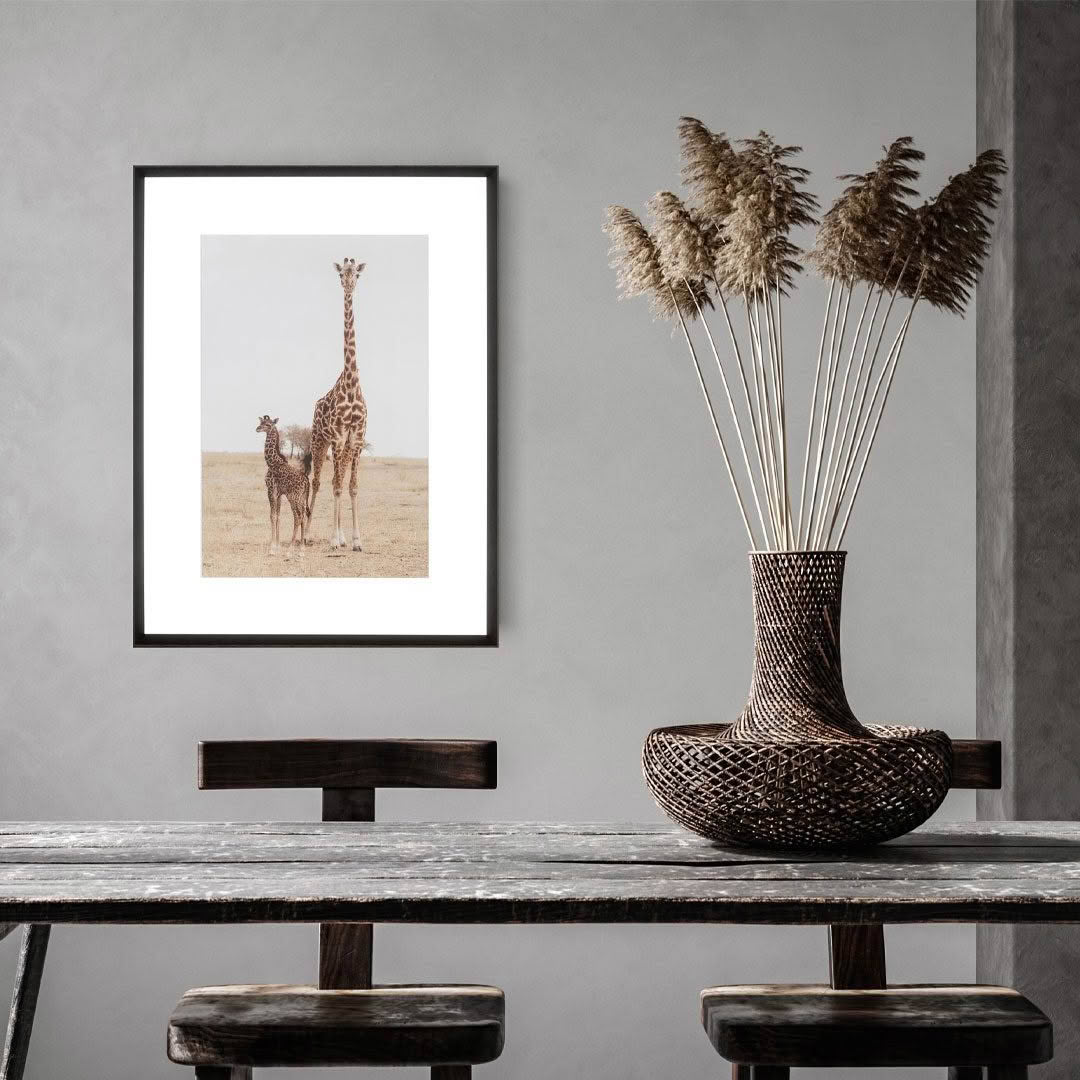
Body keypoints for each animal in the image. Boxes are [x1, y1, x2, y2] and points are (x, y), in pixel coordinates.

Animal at [256, 415, 311, 557]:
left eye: (268, 424)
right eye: (261, 422)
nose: (257, 428)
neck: (272, 462)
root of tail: (306, 481)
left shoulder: (271, 490)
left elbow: (272, 516)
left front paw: (272, 548)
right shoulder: (279, 493)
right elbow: (278, 516)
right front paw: (278, 546)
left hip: (293, 497)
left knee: (298, 516)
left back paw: (291, 549)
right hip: (302, 498)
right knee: (303, 515)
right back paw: (302, 549)